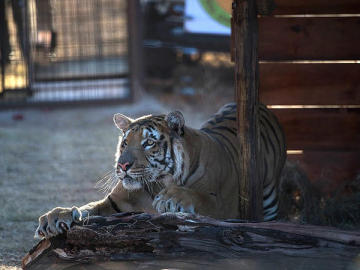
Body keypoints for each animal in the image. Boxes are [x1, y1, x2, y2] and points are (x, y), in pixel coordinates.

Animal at [34, 103, 286, 238]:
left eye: (148, 143)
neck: (157, 184)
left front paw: (170, 199)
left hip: (269, 196)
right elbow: (87, 208)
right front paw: (56, 216)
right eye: (125, 143)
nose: (122, 166)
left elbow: (199, 197)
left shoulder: (221, 206)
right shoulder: (114, 204)